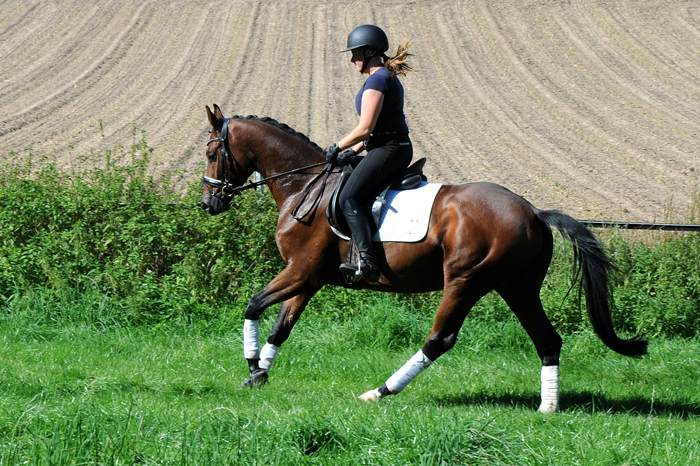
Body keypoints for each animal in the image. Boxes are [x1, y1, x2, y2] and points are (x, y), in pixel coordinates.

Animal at [198, 104, 644, 412]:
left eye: (210, 153)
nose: (208, 203)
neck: (303, 185)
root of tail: (533, 211)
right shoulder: (309, 277)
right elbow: (281, 325)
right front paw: (260, 373)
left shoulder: (301, 271)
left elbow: (253, 306)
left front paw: (252, 366)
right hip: (516, 286)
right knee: (547, 339)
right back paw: (548, 406)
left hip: (466, 280)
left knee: (440, 338)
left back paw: (379, 392)